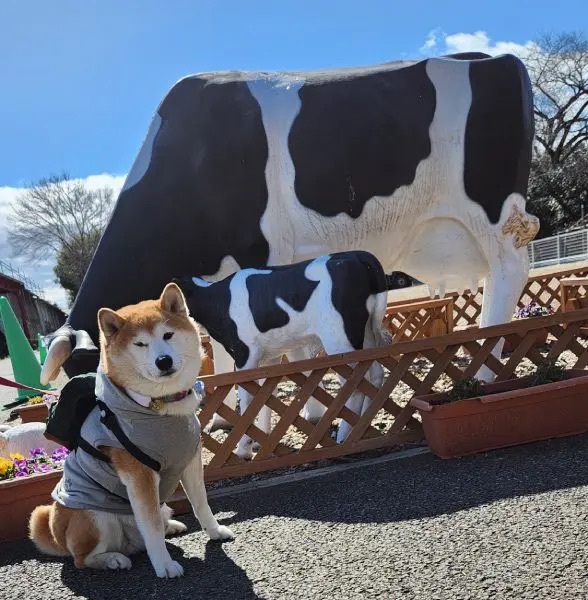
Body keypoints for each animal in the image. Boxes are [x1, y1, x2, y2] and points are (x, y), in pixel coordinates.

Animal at [29, 284, 232, 580]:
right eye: (140, 344)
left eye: (167, 335)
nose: (163, 360)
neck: (160, 410)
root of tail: (57, 536)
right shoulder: (140, 477)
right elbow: (152, 527)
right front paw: (164, 565)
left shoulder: (190, 460)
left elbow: (201, 503)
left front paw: (214, 531)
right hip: (94, 517)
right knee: (82, 559)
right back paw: (112, 559)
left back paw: (171, 526)